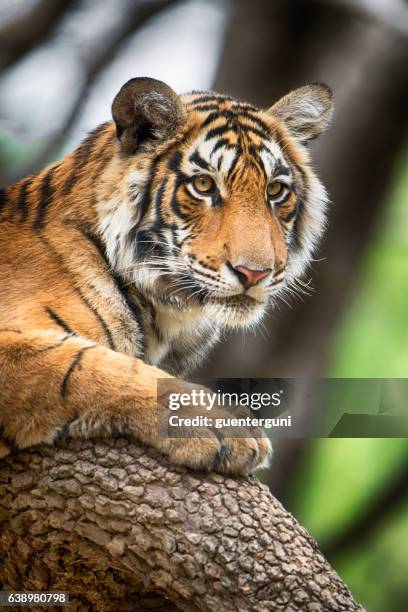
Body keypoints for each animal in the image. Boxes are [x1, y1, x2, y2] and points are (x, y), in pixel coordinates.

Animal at [0, 79, 332, 476]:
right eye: (203, 185)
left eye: (275, 190)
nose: (254, 272)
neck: (166, 314)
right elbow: (89, 367)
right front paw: (224, 425)